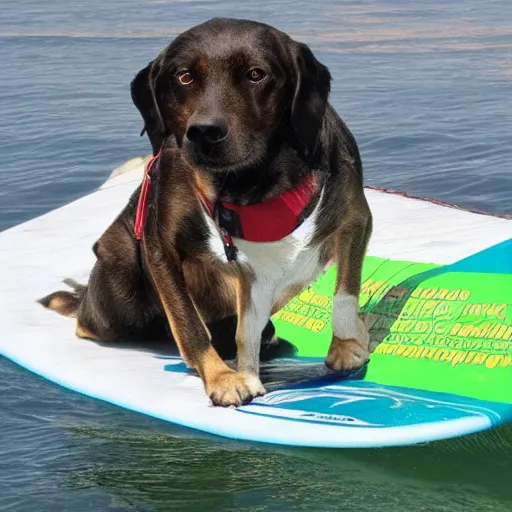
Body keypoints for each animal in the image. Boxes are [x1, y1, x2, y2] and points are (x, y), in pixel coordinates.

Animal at [40, 18, 374, 406]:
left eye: (256, 74)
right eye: (184, 77)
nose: (203, 133)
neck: (253, 183)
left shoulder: (354, 216)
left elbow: (345, 289)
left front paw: (346, 344)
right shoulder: (160, 246)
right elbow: (189, 323)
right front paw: (223, 378)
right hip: (119, 282)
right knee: (90, 320)